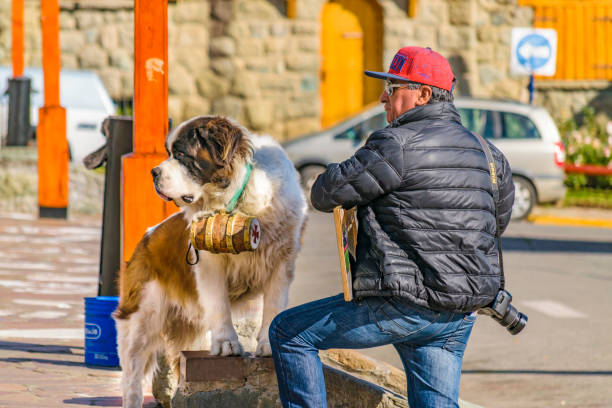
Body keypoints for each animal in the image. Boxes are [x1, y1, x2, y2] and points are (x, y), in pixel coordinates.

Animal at [113, 115, 308, 408]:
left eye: (182, 155)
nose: (153, 172)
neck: (237, 201)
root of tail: (146, 238)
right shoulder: (209, 262)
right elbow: (219, 304)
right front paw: (227, 344)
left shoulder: (281, 259)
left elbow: (273, 305)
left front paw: (266, 345)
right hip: (143, 315)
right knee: (133, 372)